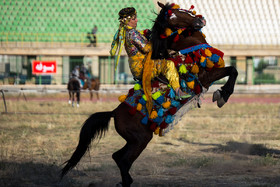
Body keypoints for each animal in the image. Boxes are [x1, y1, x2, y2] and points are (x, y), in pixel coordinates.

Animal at [60, 2, 237, 186]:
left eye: (181, 10)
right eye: (172, 17)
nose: (199, 20)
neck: (187, 49)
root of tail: (114, 113)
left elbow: (233, 70)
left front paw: (222, 94)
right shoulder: (206, 76)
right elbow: (233, 70)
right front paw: (222, 95)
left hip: (134, 140)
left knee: (117, 156)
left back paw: (125, 181)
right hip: (141, 139)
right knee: (123, 160)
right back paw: (127, 181)